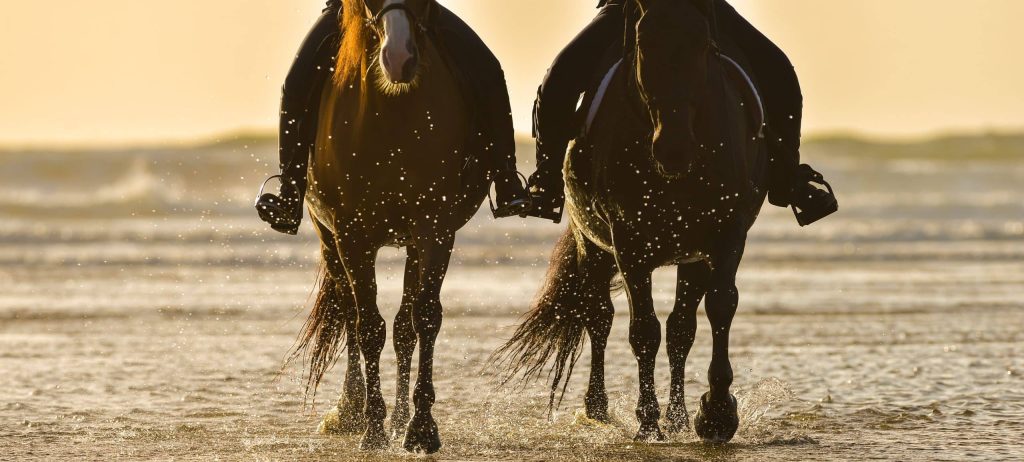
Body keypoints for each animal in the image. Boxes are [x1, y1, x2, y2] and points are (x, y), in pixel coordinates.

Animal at [289, 0, 492, 453]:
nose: (399, 58)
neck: (394, 118)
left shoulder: (434, 230)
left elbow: (423, 319)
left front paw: (421, 428)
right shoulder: (352, 235)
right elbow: (367, 326)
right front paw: (372, 428)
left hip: (411, 245)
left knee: (403, 326)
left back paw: (400, 418)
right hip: (329, 239)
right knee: (350, 313)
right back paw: (350, 410)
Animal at [493, 0, 769, 444]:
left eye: (703, 45)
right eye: (643, 45)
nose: (674, 149)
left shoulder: (726, 236)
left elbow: (720, 307)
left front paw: (716, 414)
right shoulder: (630, 243)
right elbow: (643, 330)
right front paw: (648, 422)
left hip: (691, 258)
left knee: (680, 329)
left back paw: (678, 417)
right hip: (594, 248)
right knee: (599, 318)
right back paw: (598, 409)